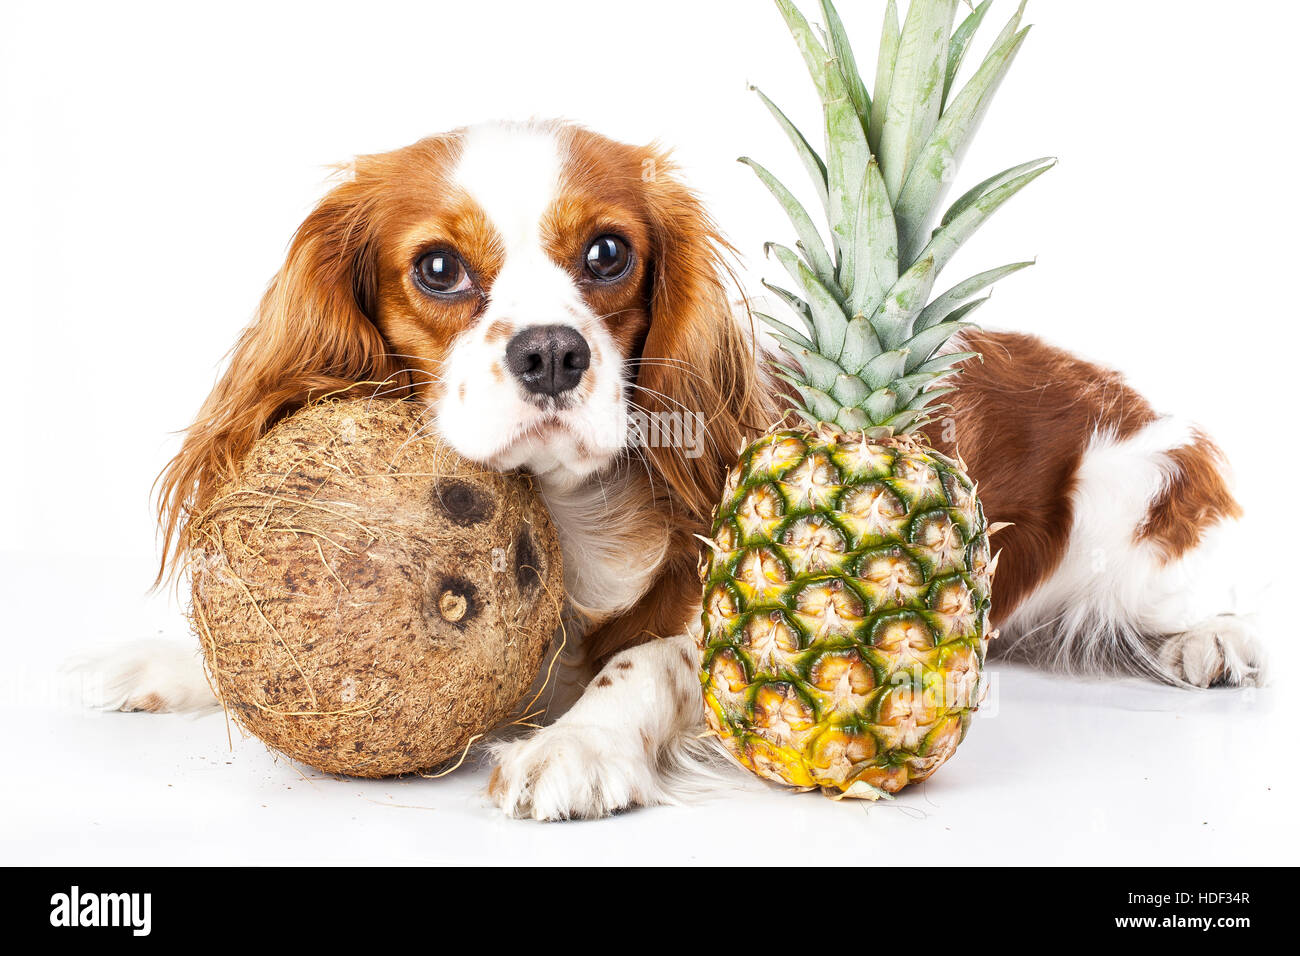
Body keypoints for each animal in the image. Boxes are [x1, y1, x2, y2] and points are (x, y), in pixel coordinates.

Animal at [81, 121, 1258, 822]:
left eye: (608, 252)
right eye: (438, 267)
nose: (551, 353)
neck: (560, 517)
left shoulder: (716, 608)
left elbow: (644, 663)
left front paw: (573, 747)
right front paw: (165, 661)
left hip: (1137, 498)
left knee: (1191, 593)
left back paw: (1211, 640)